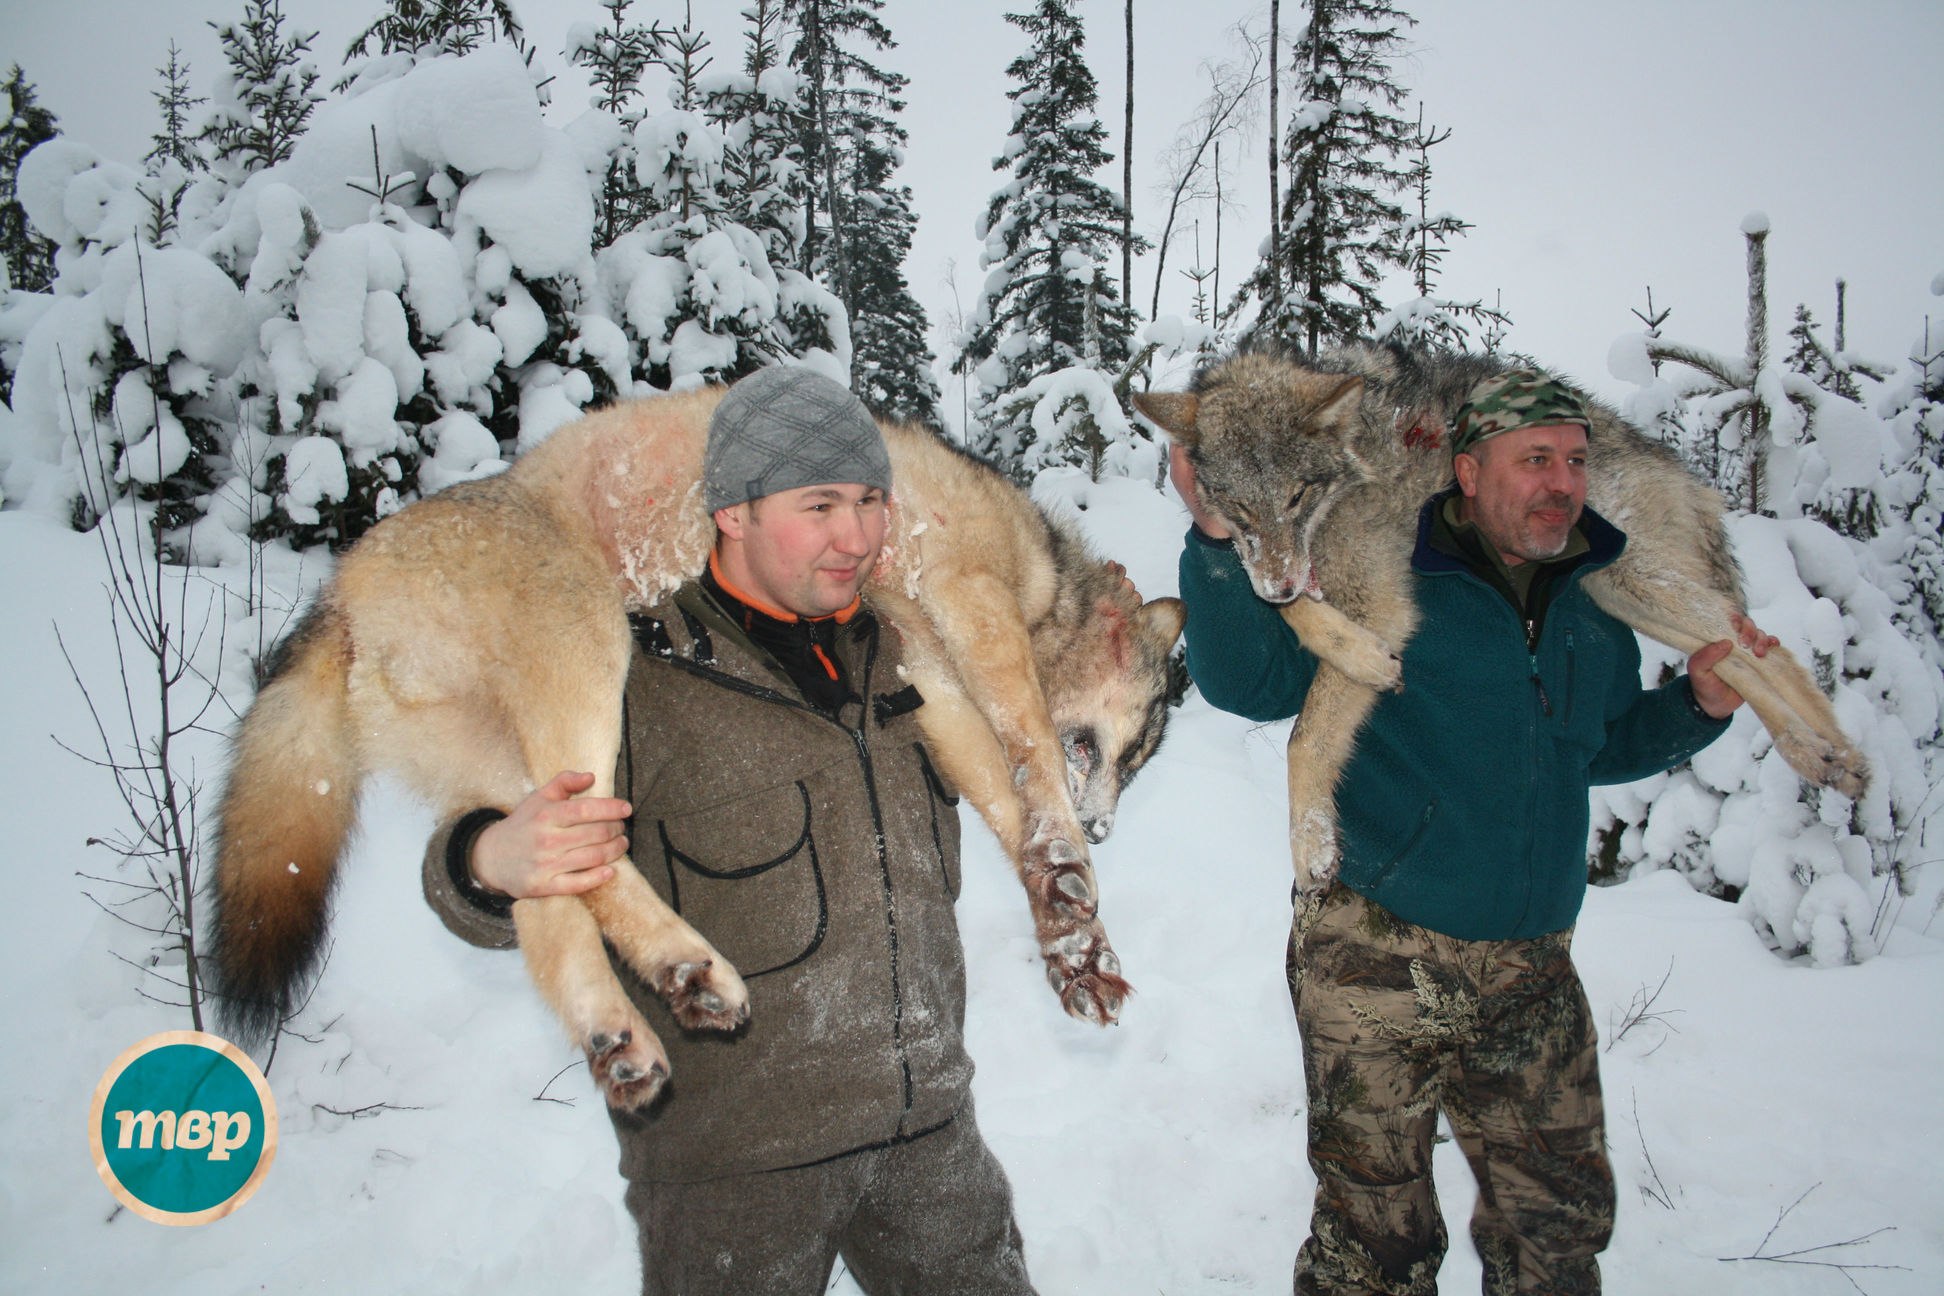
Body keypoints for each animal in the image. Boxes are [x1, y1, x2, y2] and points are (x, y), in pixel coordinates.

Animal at [1135, 341, 1866, 893]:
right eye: (1240, 509)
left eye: (1295, 496)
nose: (1282, 582)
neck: (1351, 474)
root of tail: (1672, 463)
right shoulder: (1293, 572)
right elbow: (1294, 618)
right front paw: (1360, 653)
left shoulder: (1380, 595)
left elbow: (1305, 737)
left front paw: (1310, 849)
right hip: (1621, 591)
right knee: (1740, 656)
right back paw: (1827, 757)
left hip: (1636, 578)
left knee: (1764, 647)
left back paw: (1836, 755)